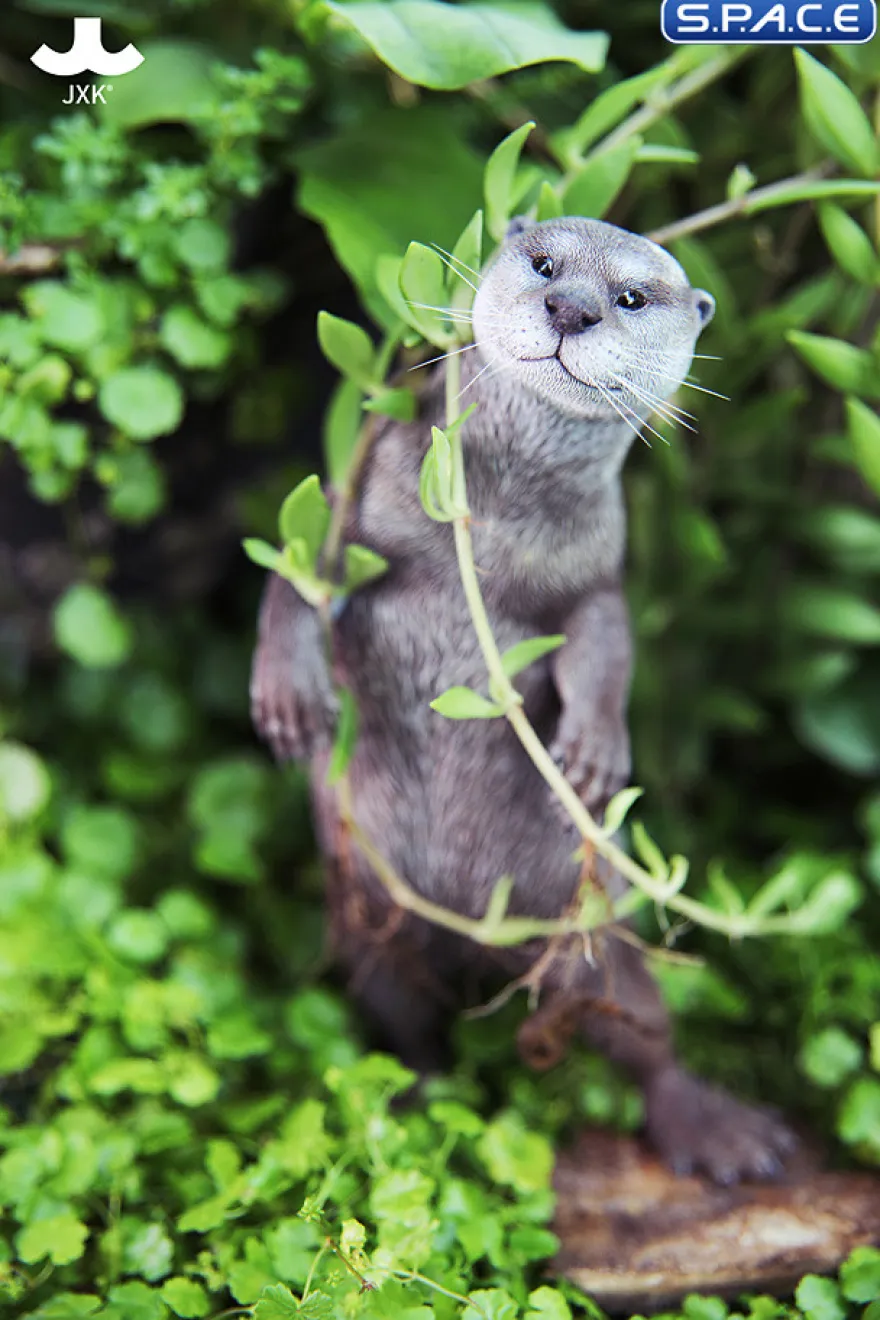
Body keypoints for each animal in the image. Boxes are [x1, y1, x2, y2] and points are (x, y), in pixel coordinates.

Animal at [251, 217, 796, 1184]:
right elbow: (296, 576)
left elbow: (607, 641)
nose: (571, 307)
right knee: (406, 1020)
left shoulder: (598, 572)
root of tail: (481, 943)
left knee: (643, 1033)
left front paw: (593, 753)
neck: (494, 527)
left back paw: (721, 1133)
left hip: (593, 947)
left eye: (630, 296)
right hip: (369, 929)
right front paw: (288, 699)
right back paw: (409, 1113)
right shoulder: (357, 509)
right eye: (545, 263)